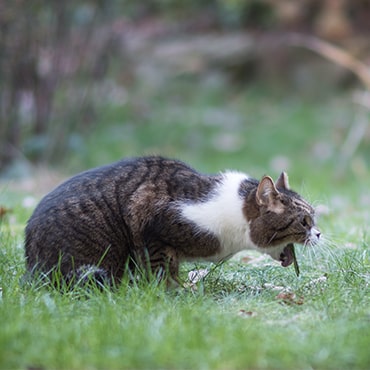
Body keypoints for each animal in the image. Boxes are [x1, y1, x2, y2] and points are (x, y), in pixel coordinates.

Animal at [24, 156, 320, 286]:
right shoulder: (151, 222)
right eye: (304, 221)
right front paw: (173, 293)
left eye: (313, 218)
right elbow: (163, 268)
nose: (318, 234)